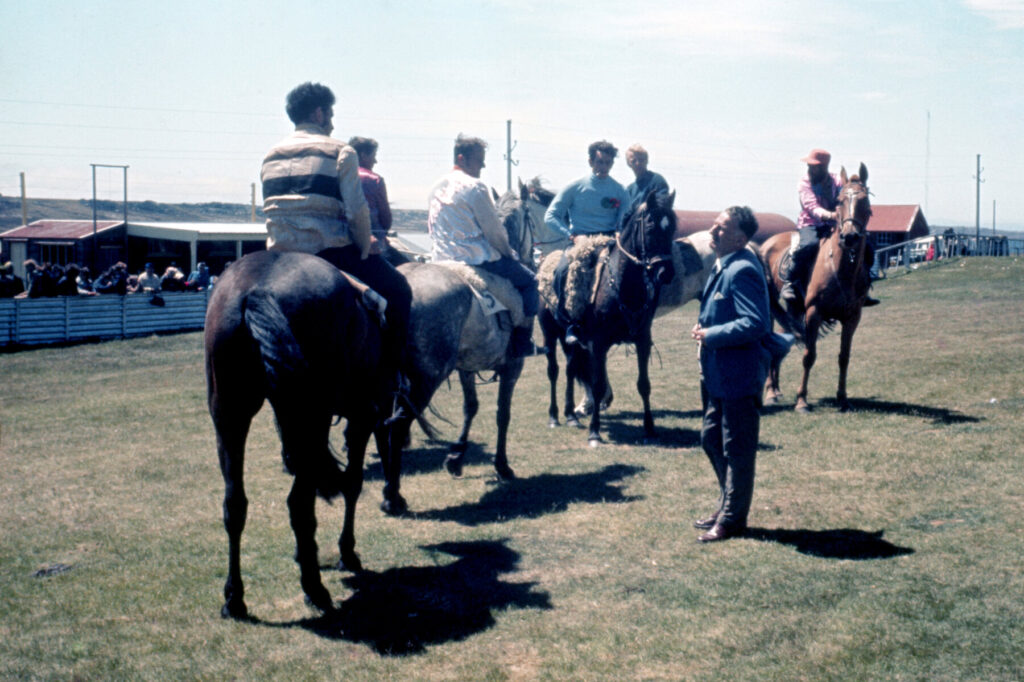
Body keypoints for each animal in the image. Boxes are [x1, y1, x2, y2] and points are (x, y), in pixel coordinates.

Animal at [203, 248, 391, 614]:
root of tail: (257, 289)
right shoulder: (363, 417)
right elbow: (353, 483)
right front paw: (347, 552)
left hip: (230, 416)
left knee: (235, 504)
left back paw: (235, 597)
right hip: (312, 419)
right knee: (300, 504)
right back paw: (314, 588)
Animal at [540, 188, 675, 444]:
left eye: (672, 226)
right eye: (651, 225)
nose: (666, 272)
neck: (622, 285)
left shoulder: (642, 341)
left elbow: (644, 384)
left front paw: (650, 428)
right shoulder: (598, 343)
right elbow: (597, 385)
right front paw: (594, 433)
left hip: (570, 341)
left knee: (570, 369)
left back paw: (571, 415)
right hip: (549, 334)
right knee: (553, 371)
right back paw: (553, 416)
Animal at [761, 161, 872, 411]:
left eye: (865, 200)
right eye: (840, 201)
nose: (850, 237)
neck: (841, 269)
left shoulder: (853, 317)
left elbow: (844, 357)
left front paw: (842, 398)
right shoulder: (814, 313)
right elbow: (809, 356)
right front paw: (802, 400)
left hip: (792, 310)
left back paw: (776, 390)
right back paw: (771, 392)